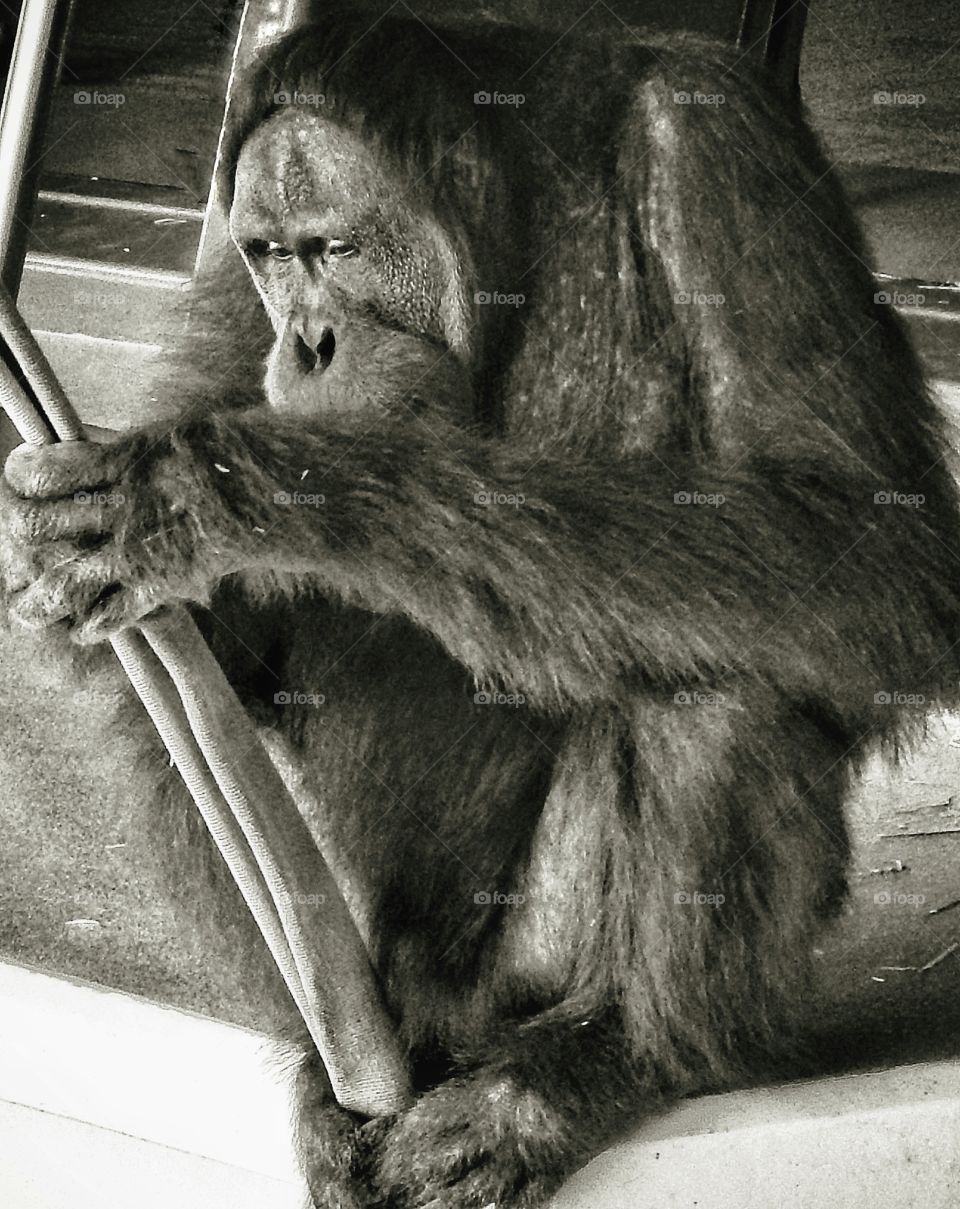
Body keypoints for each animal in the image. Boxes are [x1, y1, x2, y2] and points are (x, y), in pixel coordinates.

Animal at [2, 11, 960, 1208]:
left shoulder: (717, 153)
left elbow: (860, 538)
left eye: (340, 251)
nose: (310, 340)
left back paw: (594, 1065)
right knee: (185, 713)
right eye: (275, 256)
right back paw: (335, 1061)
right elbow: (195, 644)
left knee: (719, 681)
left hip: (524, 974)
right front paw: (71, 545)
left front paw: (226, 490)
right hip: (403, 973)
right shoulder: (230, 284)